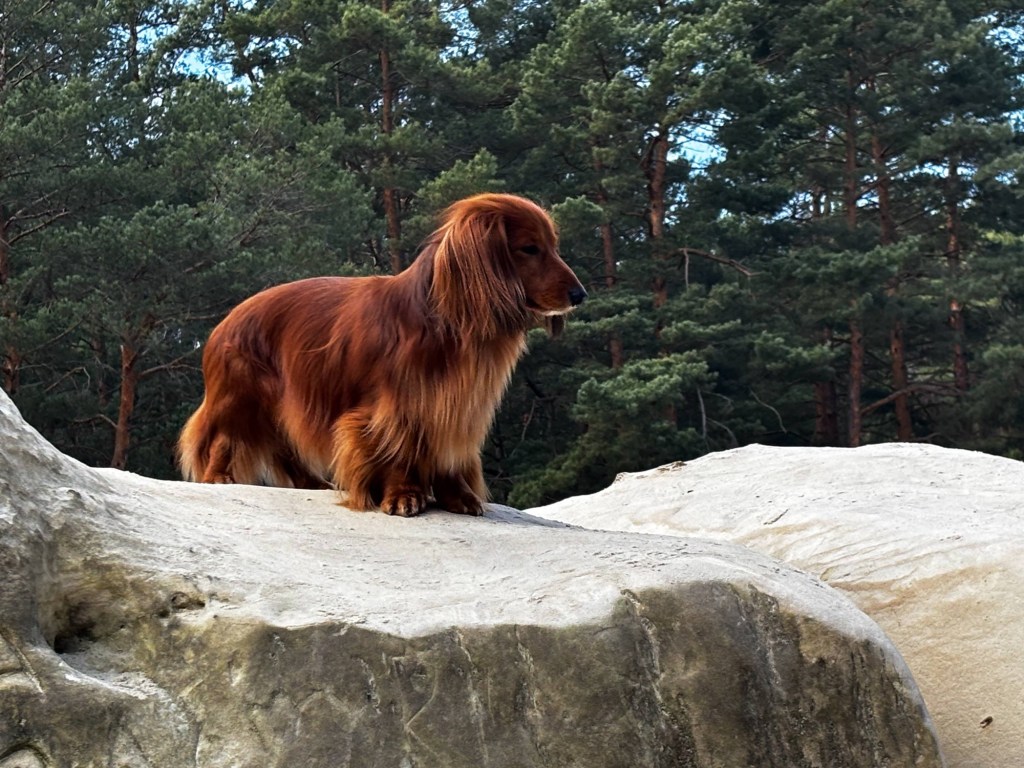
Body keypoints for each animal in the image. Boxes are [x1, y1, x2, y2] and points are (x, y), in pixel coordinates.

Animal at [177, 193, 586, 516]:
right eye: (529, 248)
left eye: (553, 245)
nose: (580, 294)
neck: (446, 323)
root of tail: (224, 322)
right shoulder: (395, 409)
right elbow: (397, 452)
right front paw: (403, 496)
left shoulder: (456, 407)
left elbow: (448, 456)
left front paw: (457, 496)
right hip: (240, 398)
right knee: (223, 439)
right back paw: (220, 477)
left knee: (285, 449)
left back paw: (314, 484)